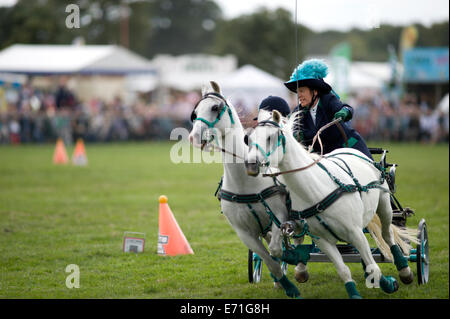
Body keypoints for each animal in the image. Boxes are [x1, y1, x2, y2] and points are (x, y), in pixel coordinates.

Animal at [188, 81, 300, 298]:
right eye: (195, 112)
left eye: (215, 108)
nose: (194, 137)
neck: (245, 182)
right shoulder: (243, 232)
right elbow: (267, 259)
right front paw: (284, 283)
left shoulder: (280, 216)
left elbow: (276, 249)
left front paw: (289, 267)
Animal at [244, 110, 416, 300]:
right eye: (249, 139)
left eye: (270, 137)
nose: (251, 164)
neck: (315, 189)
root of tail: (348, 149)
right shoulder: (322, 240)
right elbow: (344, 270)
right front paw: (355, 292)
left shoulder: (355, 232)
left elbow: (374, 267)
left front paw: (388, 284)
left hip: (384, 204)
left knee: (387, 235)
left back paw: (404, 270)